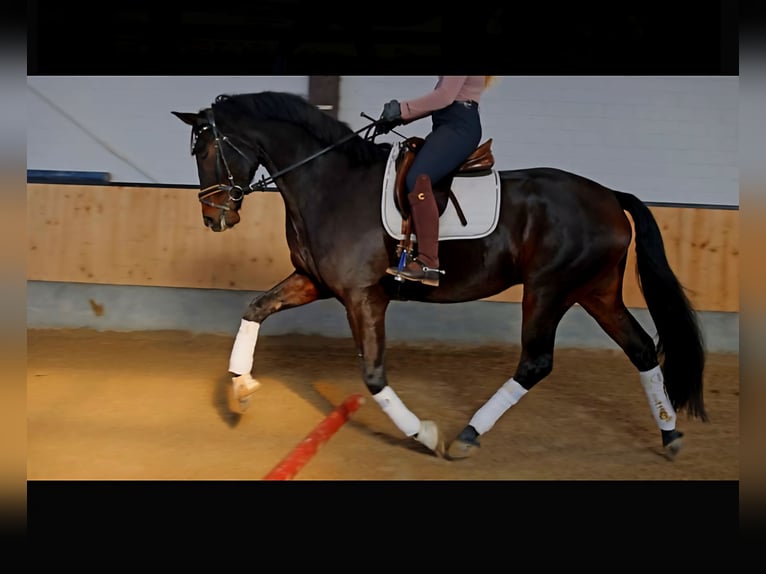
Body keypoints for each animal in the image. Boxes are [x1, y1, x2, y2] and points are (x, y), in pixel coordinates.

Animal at [171, 90, 707, 461]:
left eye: (207, 152)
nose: (215, 219)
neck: (330, 183)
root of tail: (610, 196)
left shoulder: (363, 296)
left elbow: (373, 374)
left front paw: (424, 434)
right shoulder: (315, 282)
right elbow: (256, 307)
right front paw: (240, 389)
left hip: (549, 290)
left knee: (536, 363)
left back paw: (467, 435)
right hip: (595, 291)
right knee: (641, 349)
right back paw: (670, 434)